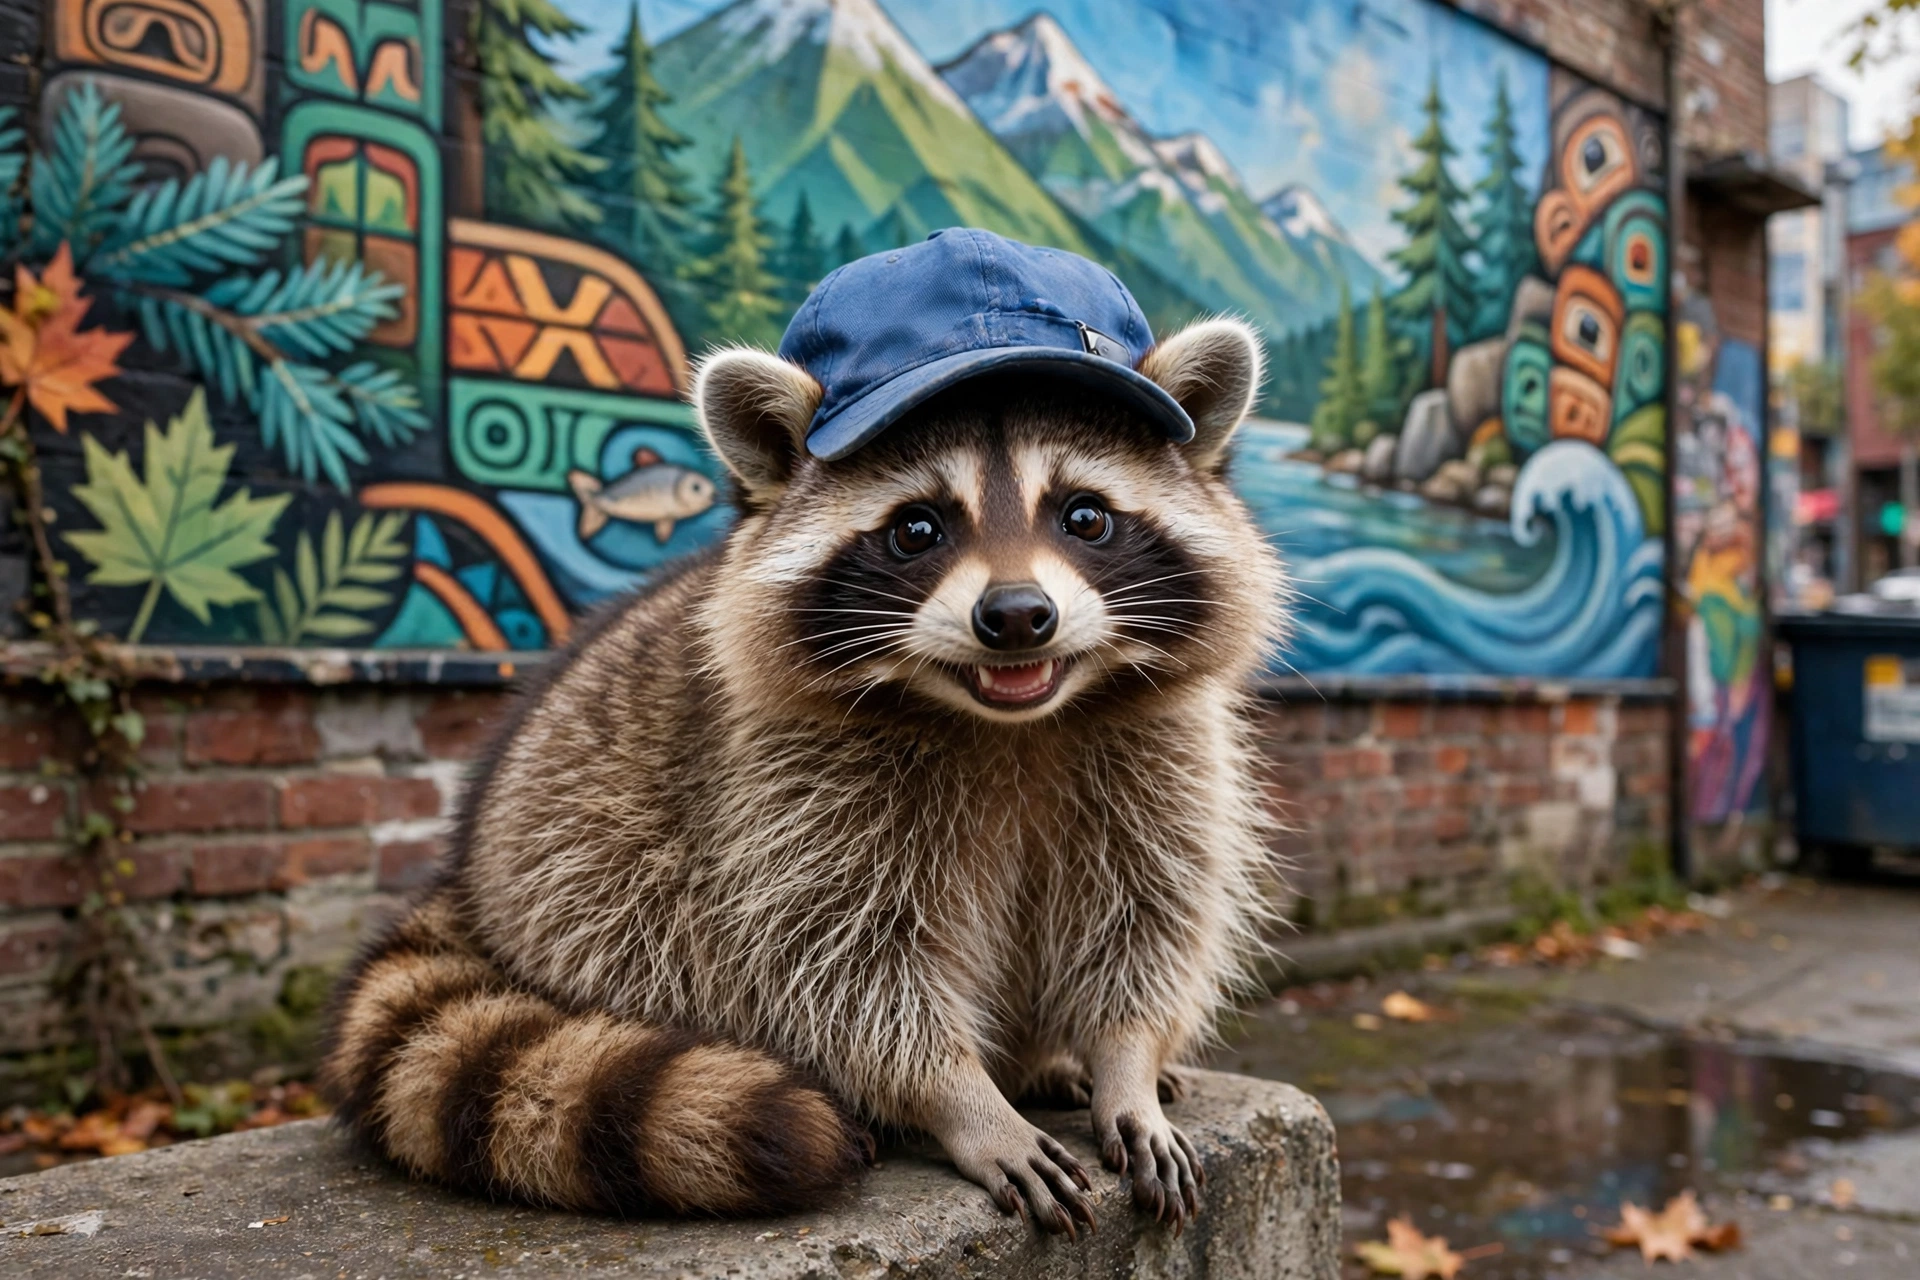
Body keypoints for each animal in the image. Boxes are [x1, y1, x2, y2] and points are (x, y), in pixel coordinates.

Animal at [320, 316, 1287, 1234]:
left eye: (1084, 517)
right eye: (917, 528)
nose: (1017, 616)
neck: (1008, 722)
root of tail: (465, 877)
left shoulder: (1160, 752)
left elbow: (1147, 917)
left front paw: (1126, 1059)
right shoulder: (785, 787)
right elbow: (841, 964)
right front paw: (962, 1100)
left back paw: (1052, 1060)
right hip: (569, 874)